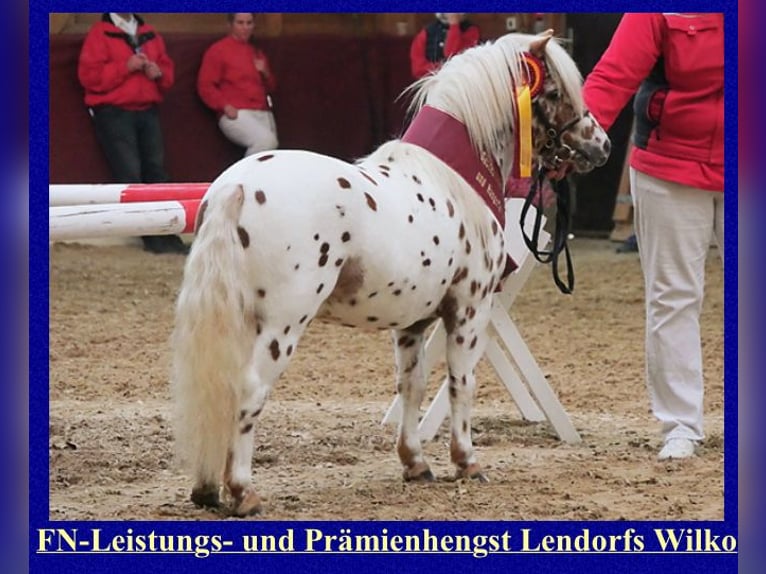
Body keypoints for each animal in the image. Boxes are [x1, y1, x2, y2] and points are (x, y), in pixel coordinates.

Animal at [171, 30, 608, 516]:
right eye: (555, 92)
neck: (452, 178)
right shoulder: (470, 310)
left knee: (221, 387)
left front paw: (415, 464)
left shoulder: (411, 323)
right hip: (283, 325)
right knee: (249, 391)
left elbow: (411, 387)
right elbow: (462, 383)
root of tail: (238, 187)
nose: (601, 145)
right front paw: (467, 462)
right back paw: (243, 491)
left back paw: (208, 488)